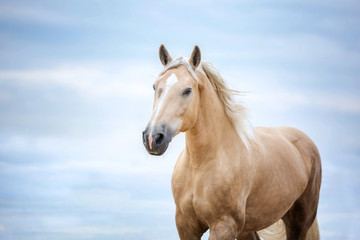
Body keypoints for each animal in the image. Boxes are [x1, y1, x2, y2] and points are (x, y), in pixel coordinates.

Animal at [142, 45, 322, 240]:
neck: (200, 166)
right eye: (155, 87)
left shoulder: (223, 226)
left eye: (188, 90)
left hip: (299, 222)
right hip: (248, 227)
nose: (152, 137)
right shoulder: (186, 227)